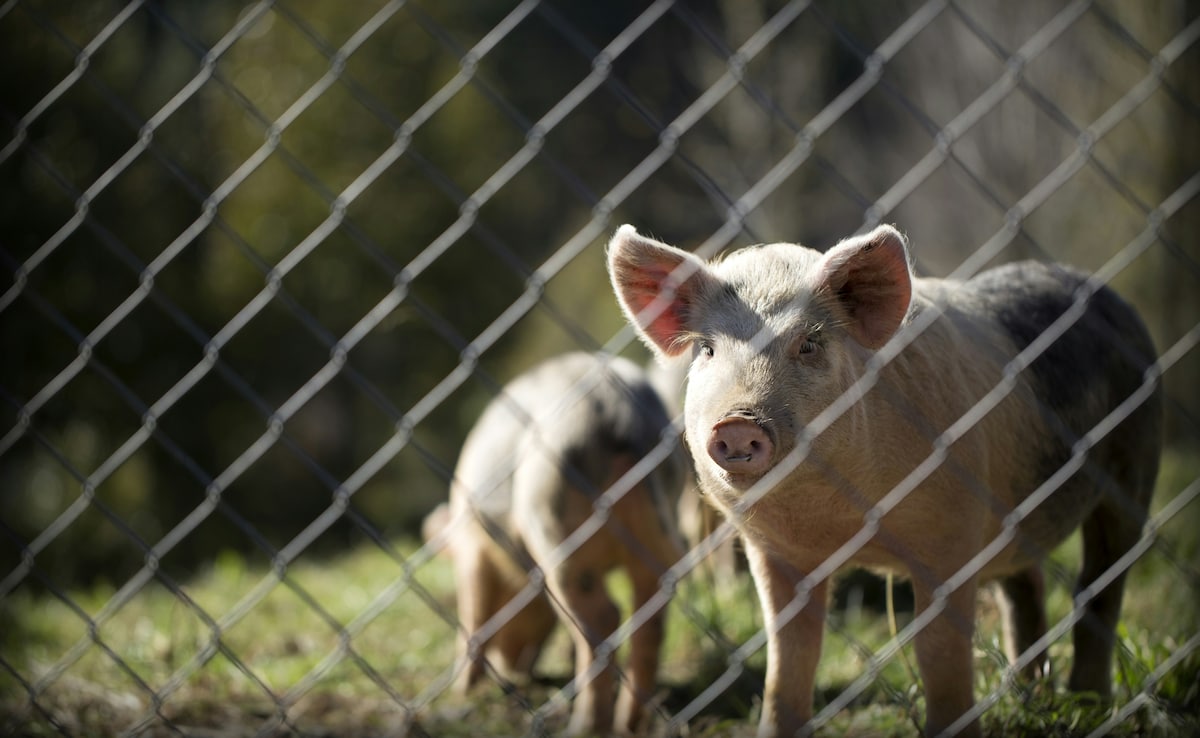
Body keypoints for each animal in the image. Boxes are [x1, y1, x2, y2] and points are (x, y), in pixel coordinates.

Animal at [443, 351, 689, 735]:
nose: (517, 670)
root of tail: (620, 414)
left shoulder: (472, 545)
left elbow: (473, 610)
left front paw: (460, 693)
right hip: (660, 522)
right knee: (650, 612)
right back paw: (628, 725)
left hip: (552, 514)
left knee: (603, 615)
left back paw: (584, 726)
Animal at [607, 224, 1162, 737]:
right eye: (706, 349)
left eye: (809, 344)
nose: (737, 423)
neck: (842, 522)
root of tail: (1106, 295)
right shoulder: (775, 552)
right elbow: (790, 658)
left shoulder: (951, 534)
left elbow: (937, 652)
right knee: (1026, 586)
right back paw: (1032, 697)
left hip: (1134, 459)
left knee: (1100, 584)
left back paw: (1089, 705)